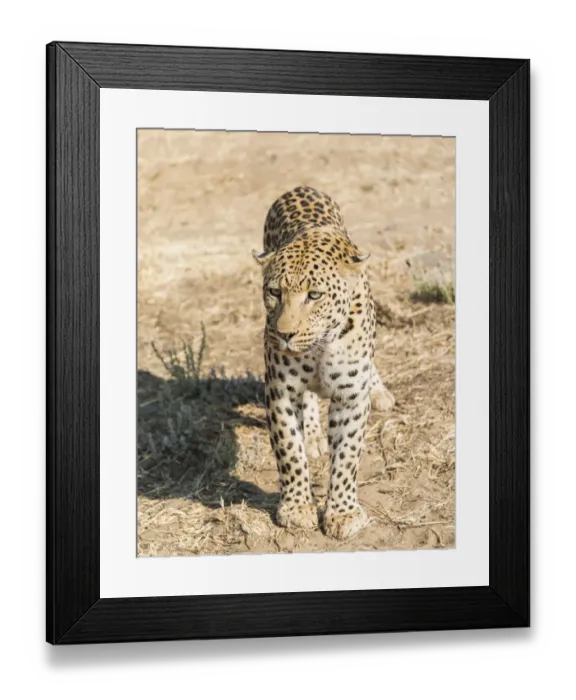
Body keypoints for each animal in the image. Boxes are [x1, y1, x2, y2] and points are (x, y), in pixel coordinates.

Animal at [253, 185, 395, 540]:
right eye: (274, 292)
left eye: (314, 296)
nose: (284, 334)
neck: (319, 346)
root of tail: (300, 187)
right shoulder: (280, 390)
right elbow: (290, 449)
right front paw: (297, 508)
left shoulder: (350, 397)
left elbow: (347, 455)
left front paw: (342, 513)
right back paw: (314, 434)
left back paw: (380, 391)